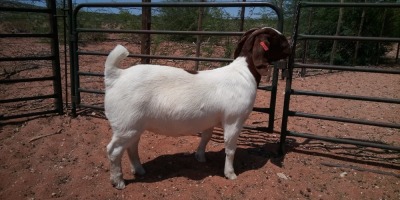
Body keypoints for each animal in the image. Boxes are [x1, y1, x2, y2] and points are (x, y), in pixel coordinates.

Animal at [104, 27, 290, 189]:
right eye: (278, 38)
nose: (290, 49)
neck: (244, 73)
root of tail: (116, 76)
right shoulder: (234, 120)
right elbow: (230, 149)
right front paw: (230, 174)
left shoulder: (210, 120)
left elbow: (206, 137)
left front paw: (200, 157)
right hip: (126, 124)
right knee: (113, 150)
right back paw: (118, 181)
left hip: (134, 125)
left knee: (132, 146)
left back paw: (139, 170)